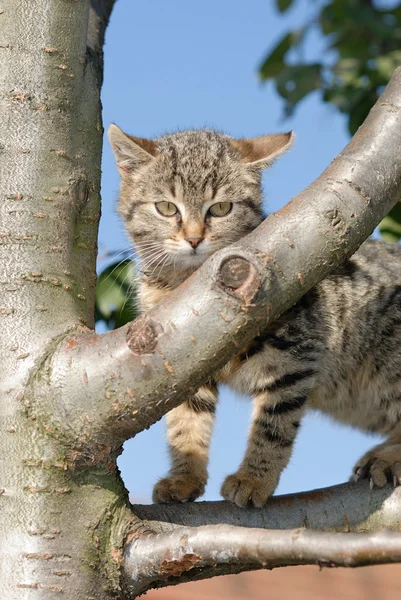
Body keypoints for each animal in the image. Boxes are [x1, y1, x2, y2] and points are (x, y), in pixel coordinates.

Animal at [108, 125, 400, 506]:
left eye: (221, 208)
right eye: (166, 207)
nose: (193, 239)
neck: (188, 284)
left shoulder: (296, 353)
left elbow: (274, 422)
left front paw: (254, 478)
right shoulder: (183, 364)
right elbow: (186, 420)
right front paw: (184, 476)